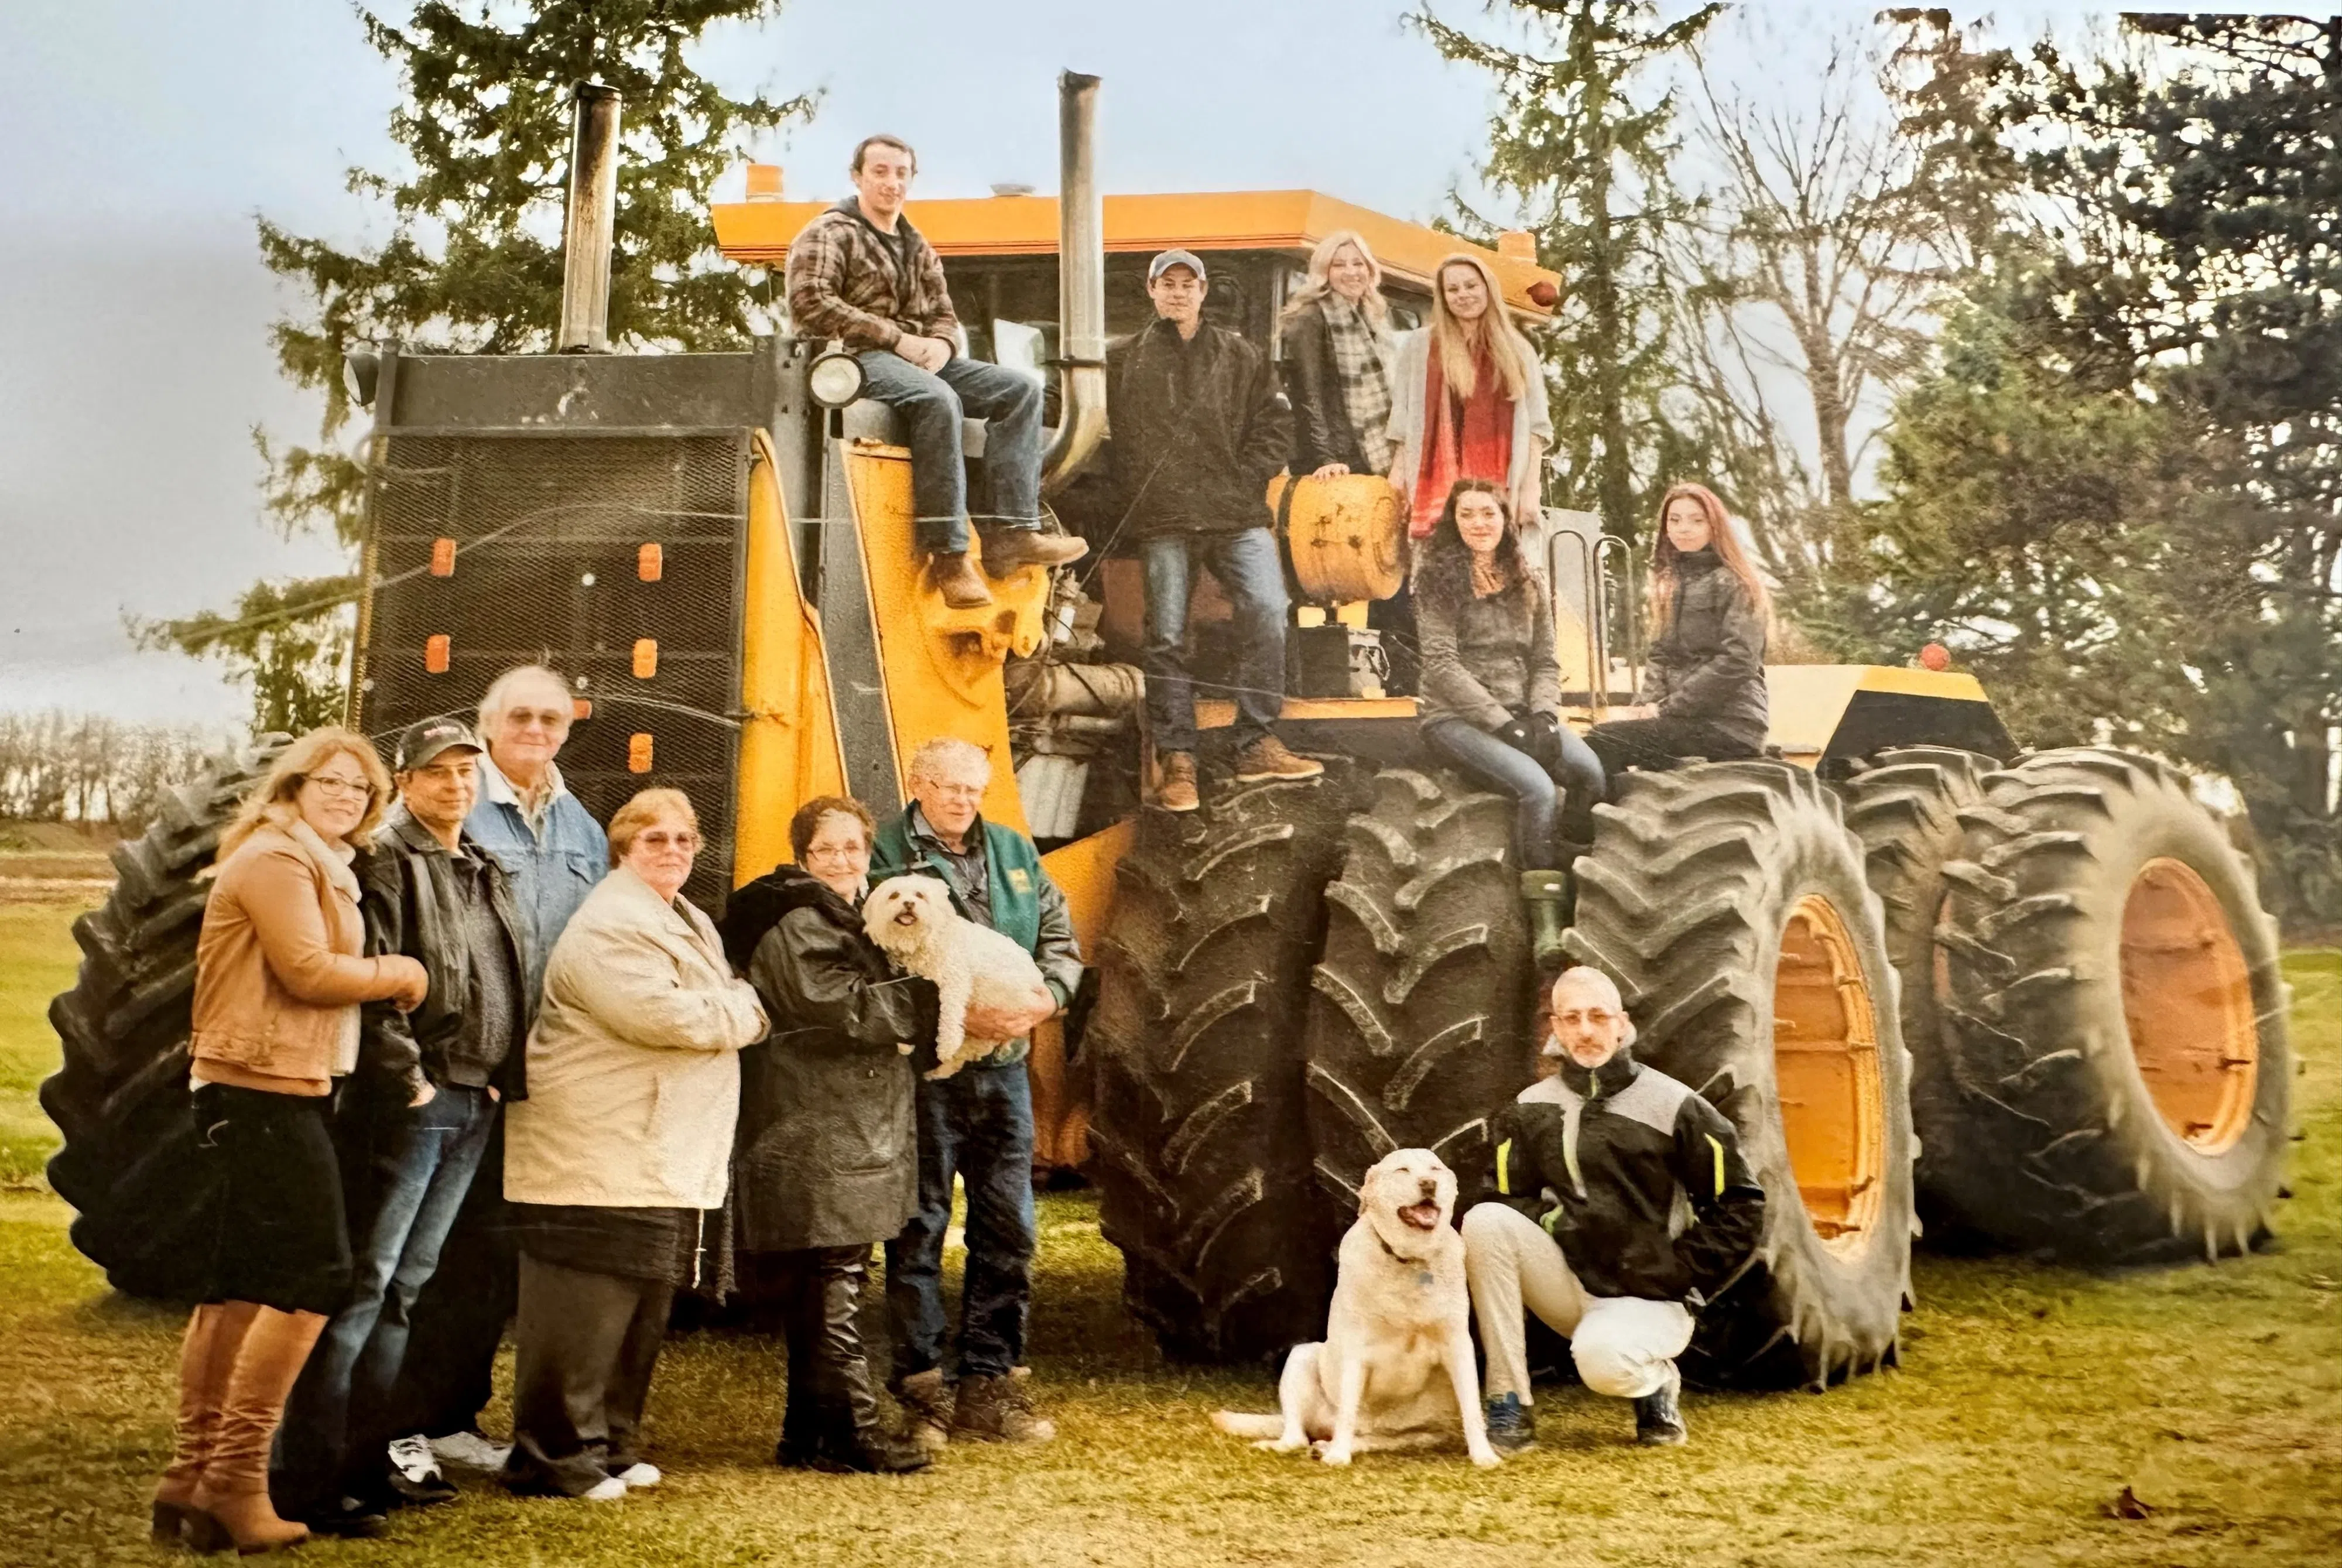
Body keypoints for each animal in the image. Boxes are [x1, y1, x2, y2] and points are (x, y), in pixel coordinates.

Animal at [862, 870, 1045, 1081]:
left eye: (919, 895)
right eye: (894, 896)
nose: (908, 904)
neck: (921, 941)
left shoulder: (954, 981)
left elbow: (949, 1016)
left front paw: (946, 1045)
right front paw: (904, 1042)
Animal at [1208, 1146, 1499, 1470]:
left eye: (1435, 1169)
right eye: (1402, 1170)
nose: (1428, 1185)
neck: (1409, 1259)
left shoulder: (1458, 1344)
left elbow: (1472, 1408)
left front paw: (1484, 1454)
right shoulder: (1355, 1348)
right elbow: (1348, 1409)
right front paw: (1338, 1457)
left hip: (1416, 1434)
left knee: (1366, 1439)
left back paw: (1329, 1446)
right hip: (1302, 1356)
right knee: (1299, 1435)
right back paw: (1294, 1445)